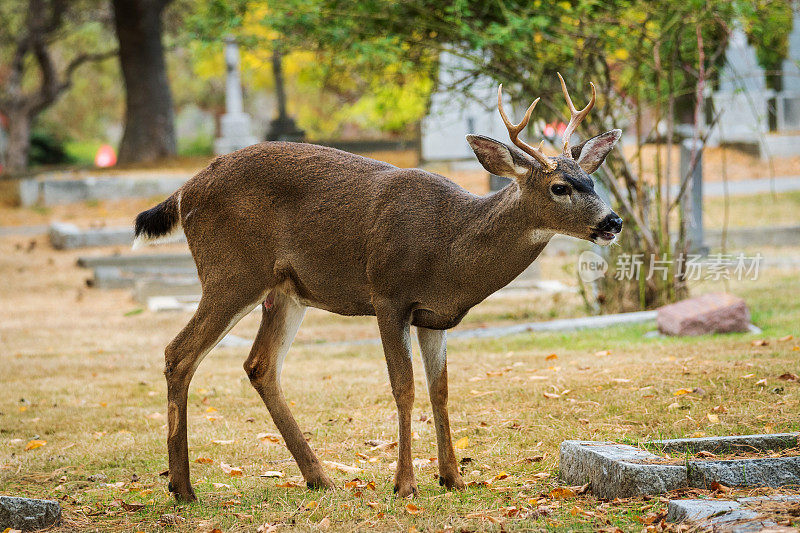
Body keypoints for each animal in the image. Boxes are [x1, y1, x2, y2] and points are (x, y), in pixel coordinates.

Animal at [134, 74, 624, 498]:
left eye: (591, 180)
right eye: (559, 187)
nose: (613, 222)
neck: (450, 250)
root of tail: (185, 191)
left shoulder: (434, 316)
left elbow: (440, 388)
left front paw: (453, 478)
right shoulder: (388, 295)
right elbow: (403, 386)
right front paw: (405, 484)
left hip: (284, 291)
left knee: (260, 365)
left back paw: (319, 478)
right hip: (231, 273)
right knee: (179, 353)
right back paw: (183, 488)